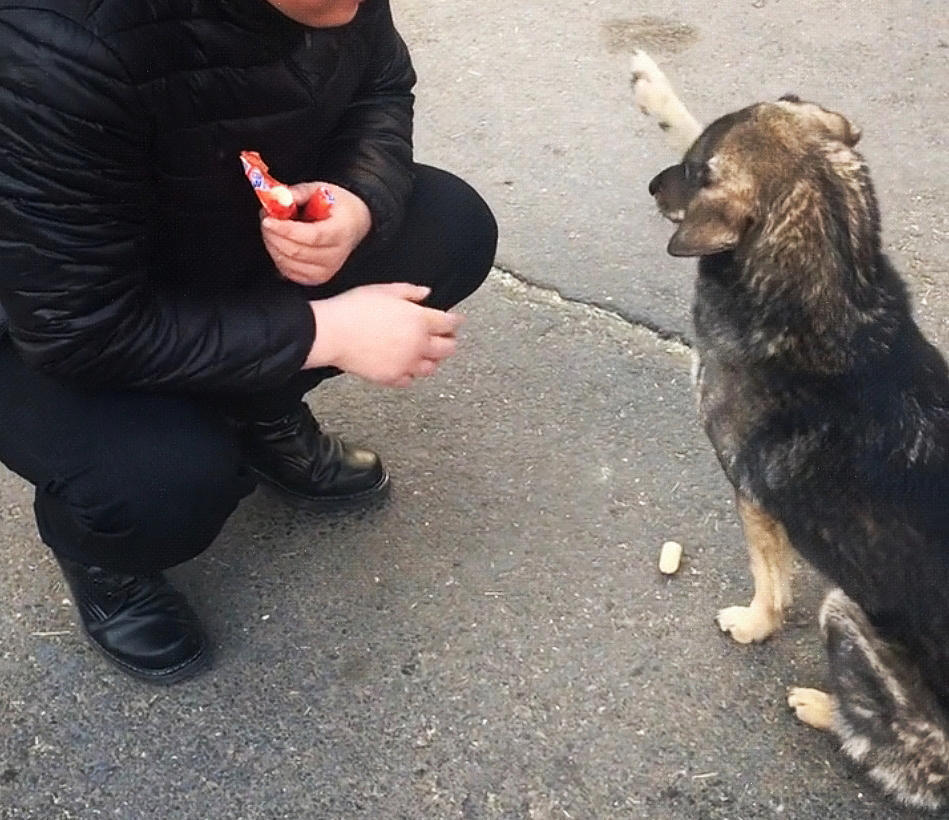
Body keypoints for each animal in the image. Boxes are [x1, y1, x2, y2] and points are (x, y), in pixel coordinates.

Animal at [632, 52, 948, 812]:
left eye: (694, 171)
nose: (652, 185)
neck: (836, 289)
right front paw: (654, 89)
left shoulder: (750, 497)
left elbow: (767, 583)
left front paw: (753, 625)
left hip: (847, 613)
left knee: (888, 749)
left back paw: (820, 705)